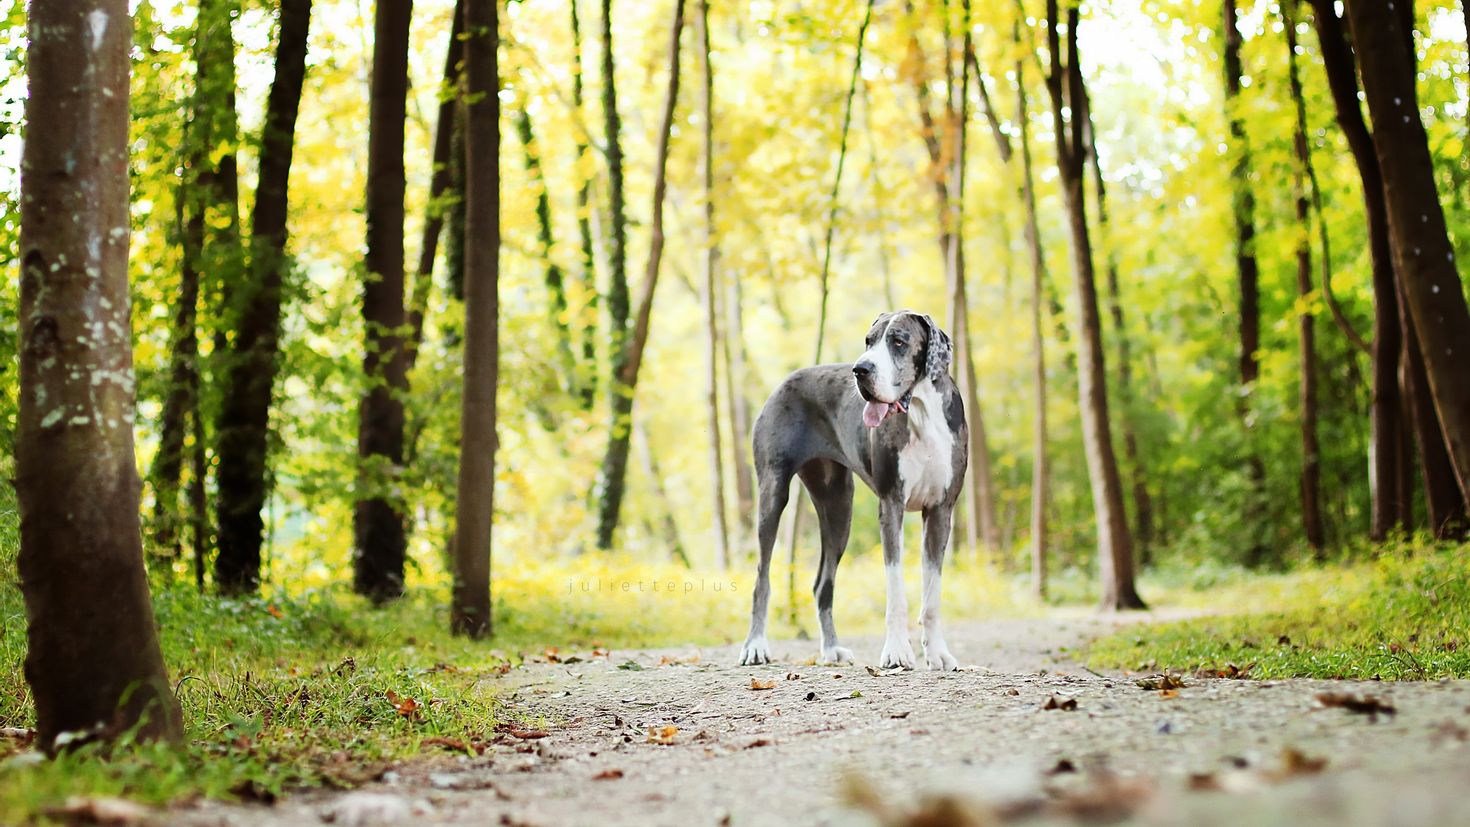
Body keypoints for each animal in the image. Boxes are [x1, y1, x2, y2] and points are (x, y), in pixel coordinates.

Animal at [740, 312, 970, 672]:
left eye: (899, 341)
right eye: (868, 341)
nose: (860, 369)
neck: (922, 412)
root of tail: (784, 381)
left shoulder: (941, 510)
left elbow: (932, 595)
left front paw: (937, 654)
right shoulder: (891, 505)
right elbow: (896, 591)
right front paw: (897, 651)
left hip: (838, 510)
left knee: (823, 585)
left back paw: (832, 649)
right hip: (772, 495)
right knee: (761, 578)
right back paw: (755, 646)